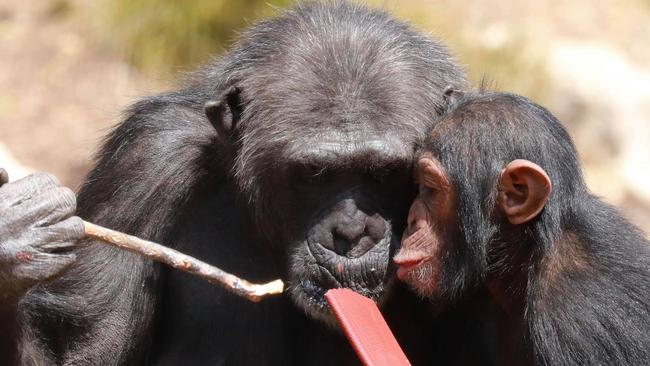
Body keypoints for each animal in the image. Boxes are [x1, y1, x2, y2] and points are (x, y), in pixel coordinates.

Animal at [0, 2, 496, 366]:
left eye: (385, 172)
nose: (351, 233)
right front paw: (15, 242)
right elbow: (87, 350)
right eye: (313, 173)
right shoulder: (142, 165)